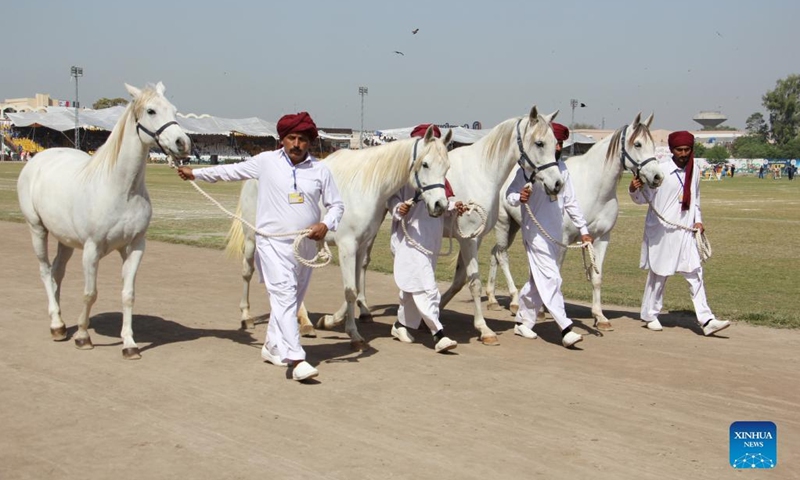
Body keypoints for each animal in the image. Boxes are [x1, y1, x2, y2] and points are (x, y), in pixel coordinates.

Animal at [16, 83, 191, 360]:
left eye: (174, 110)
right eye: (151, 111)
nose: (182, 143)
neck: (121, 190)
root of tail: (41, 157)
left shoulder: (135, 247)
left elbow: (128, 295)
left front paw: (129, 344)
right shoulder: (92, 249)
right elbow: (90, 294)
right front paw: (83, 337)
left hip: (65, 239)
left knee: (57, 272)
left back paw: (62, 324)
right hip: (37, 229)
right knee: (45, 271)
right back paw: (55, 323)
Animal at [225, 125, 454, 350]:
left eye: (447, 167)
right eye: (425, 164)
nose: (440, 205)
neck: (365, 187)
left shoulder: (361, 247)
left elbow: (355, 286)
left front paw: (330, 321)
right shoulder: (347, 246)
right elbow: (350, 290)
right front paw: (350, 332)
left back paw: (305, 322)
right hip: (252, 239)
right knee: (247, 272)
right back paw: (247, 316)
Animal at [484, 113, 664, 330]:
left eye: (653, 144)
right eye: (637, 144)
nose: (658, 177)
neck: (595, 187)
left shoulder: (601, 238)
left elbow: (596, 277)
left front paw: (600, 317)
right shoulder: (561, 240)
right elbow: (553, 274)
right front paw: (544, 310)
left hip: (514, 227)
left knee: (494, 253)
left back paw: (492, 298)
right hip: (504, 224)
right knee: (502, 256)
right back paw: (514, 301)